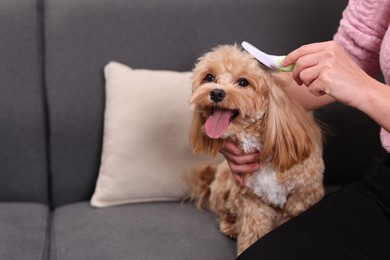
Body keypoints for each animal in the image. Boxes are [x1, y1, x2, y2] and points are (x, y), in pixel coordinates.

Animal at [187, 45, 324, 256]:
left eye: (243, 82)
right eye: (209, 77)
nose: (217, 93)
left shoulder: (302, 198)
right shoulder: (251, 201)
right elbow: (254, 231)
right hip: (225, 186)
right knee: (224, 212)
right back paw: (230, 227)